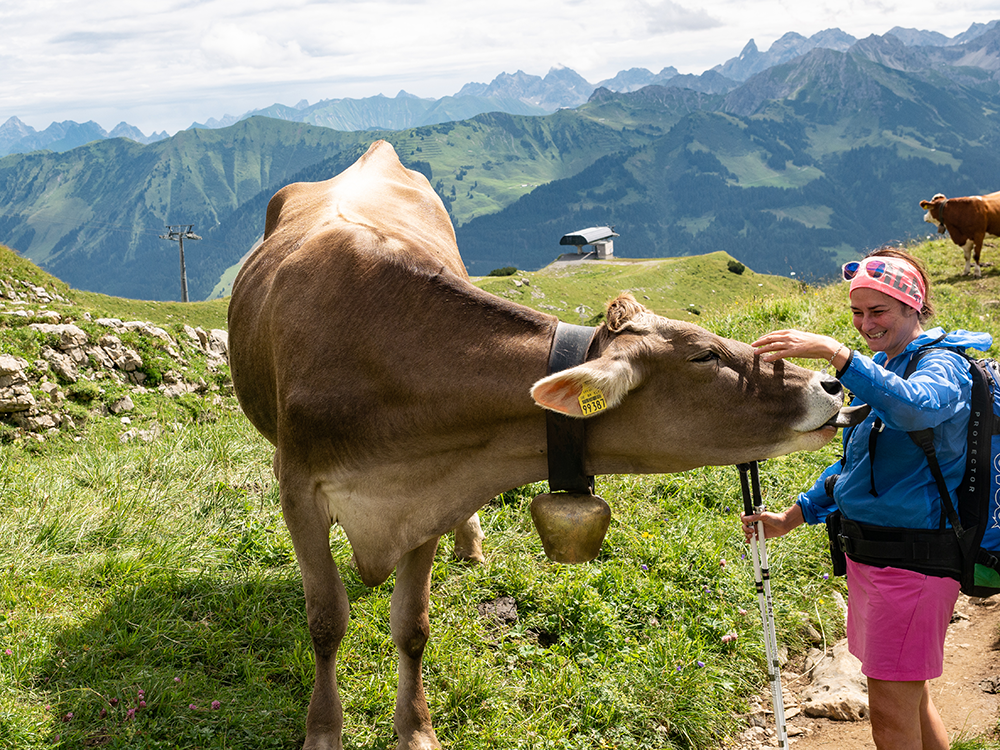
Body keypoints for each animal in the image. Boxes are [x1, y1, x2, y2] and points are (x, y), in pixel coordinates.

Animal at [227, 141, 844, 750]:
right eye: (704, 355)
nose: (830, 384)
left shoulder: (430, 494)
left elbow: (412, 623)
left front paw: (417, 730)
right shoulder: (299, 489)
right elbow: (326, 620)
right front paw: (323, 731)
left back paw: (471, 543)